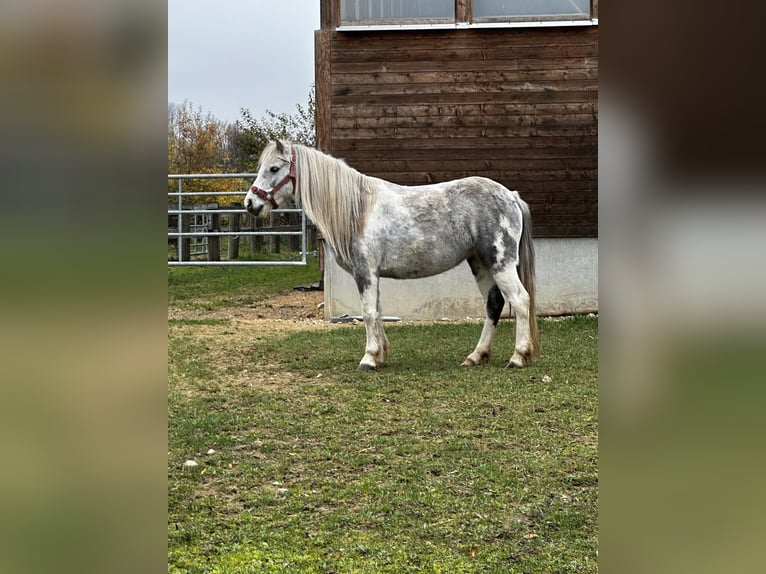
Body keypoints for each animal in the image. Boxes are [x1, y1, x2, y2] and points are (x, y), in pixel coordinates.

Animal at [246, 142, 540, 372]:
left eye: (274, 169)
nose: (250, 203)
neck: (357, 209)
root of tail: (511, 196)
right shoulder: (372, 274)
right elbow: (376, 311)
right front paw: (379, 355)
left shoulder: (365, 271)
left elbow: (367, 312)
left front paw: (368, 358)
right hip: (480, 263)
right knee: (494, 304)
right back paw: (476, 356)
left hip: (500, 263)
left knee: (520, 300)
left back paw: (518, 357)